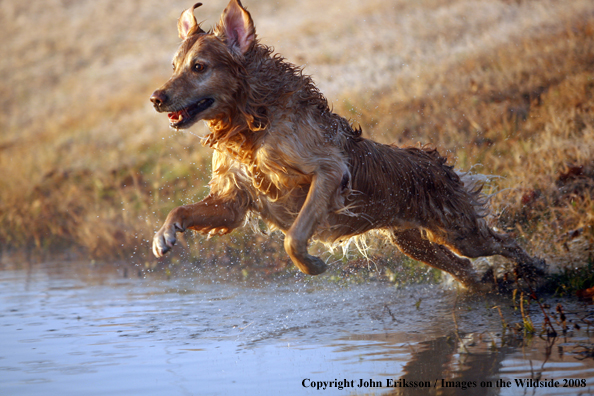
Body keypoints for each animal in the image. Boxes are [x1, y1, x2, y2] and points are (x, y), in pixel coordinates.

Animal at [149, 0, 540, 290]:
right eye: (173, 66)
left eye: (199, 67)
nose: (155, 98)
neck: (251, 125)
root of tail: (434, 161)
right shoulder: (234, 201)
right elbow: (181, 210)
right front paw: (165, 235)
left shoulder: (329, 171)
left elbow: (294, 236)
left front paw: (312, 264)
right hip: (412, 242)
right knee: (466, 271)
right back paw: (489, 283)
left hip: (458, 230)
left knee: (503, 242)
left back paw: (540, 270)